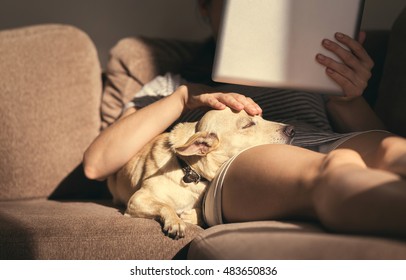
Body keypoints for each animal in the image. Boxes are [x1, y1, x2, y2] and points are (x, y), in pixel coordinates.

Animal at [106, 107, 294, 238]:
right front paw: (176, 221)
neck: (190, 170)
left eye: (262, 117)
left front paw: (189, 216)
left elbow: (201, 214)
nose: (292, 130)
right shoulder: (137, 199)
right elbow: (165, 205)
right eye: (247, 125)